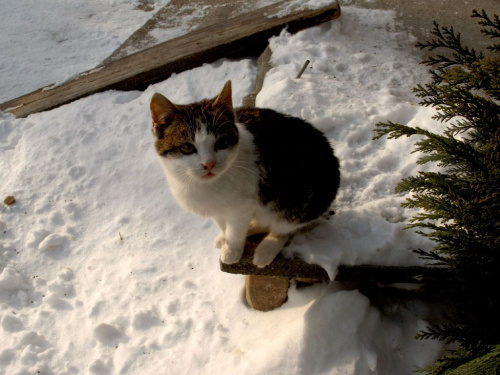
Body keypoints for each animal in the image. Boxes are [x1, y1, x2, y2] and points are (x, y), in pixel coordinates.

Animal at [148, 80, 340, 268]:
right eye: (187, 147)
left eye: (222, 142)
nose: (209, 164)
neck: (204, 185)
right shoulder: (217, 208)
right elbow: (223, 223)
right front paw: (224, 236)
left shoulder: (243, 204)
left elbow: (236, 227)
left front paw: (232, 250)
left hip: (302, 201)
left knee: (284, 227)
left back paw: (266, 248)